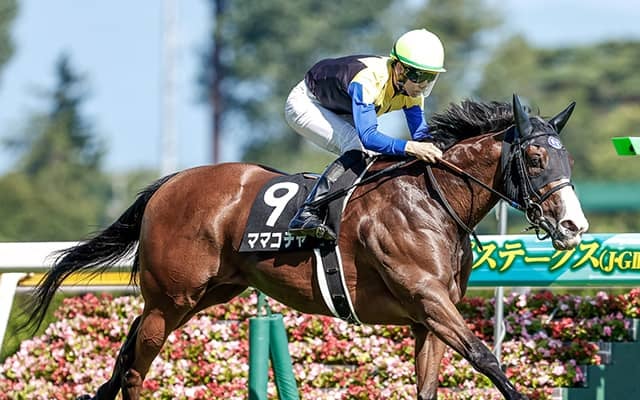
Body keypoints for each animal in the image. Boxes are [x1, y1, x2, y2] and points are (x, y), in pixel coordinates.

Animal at [24, 95, 588, 400]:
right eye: (535, 158)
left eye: (569, 161)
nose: (574, 226)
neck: (432, 198)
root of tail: (169, 183)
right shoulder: (426, 298)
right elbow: (486, 357)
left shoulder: (427, 316)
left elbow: (430, 384)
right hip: (171, 298)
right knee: (137, 367)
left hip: (207, 294)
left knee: (128, 351)